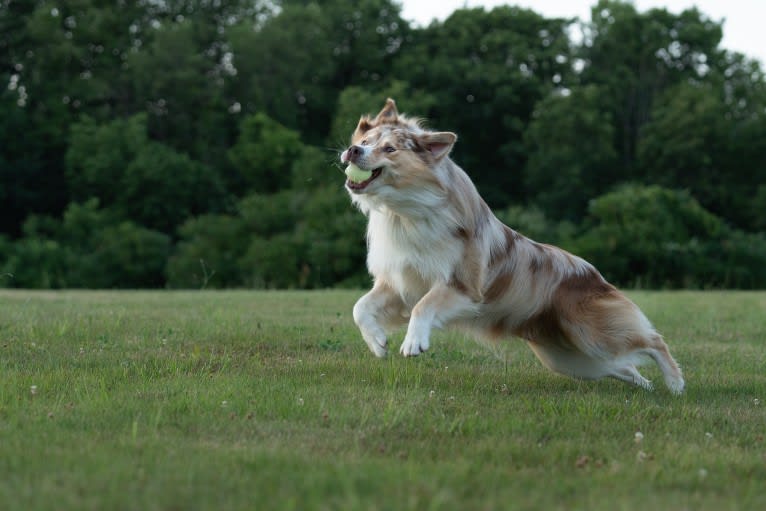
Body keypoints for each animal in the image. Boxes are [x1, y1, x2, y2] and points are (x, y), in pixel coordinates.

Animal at [340, 100, 684, 396]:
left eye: (389, 148)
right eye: (365, 140)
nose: (353, 150)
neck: (403, 211)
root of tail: (594, 273)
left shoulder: (463, 285)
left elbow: (424, 306)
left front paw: (413, 343)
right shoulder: (399, 283)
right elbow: (360, 307)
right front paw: (377, 342)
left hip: (593, 333)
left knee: (653, 341)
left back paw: (675, 383)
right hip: (570, 358)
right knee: (624, 367)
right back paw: (647, 387)